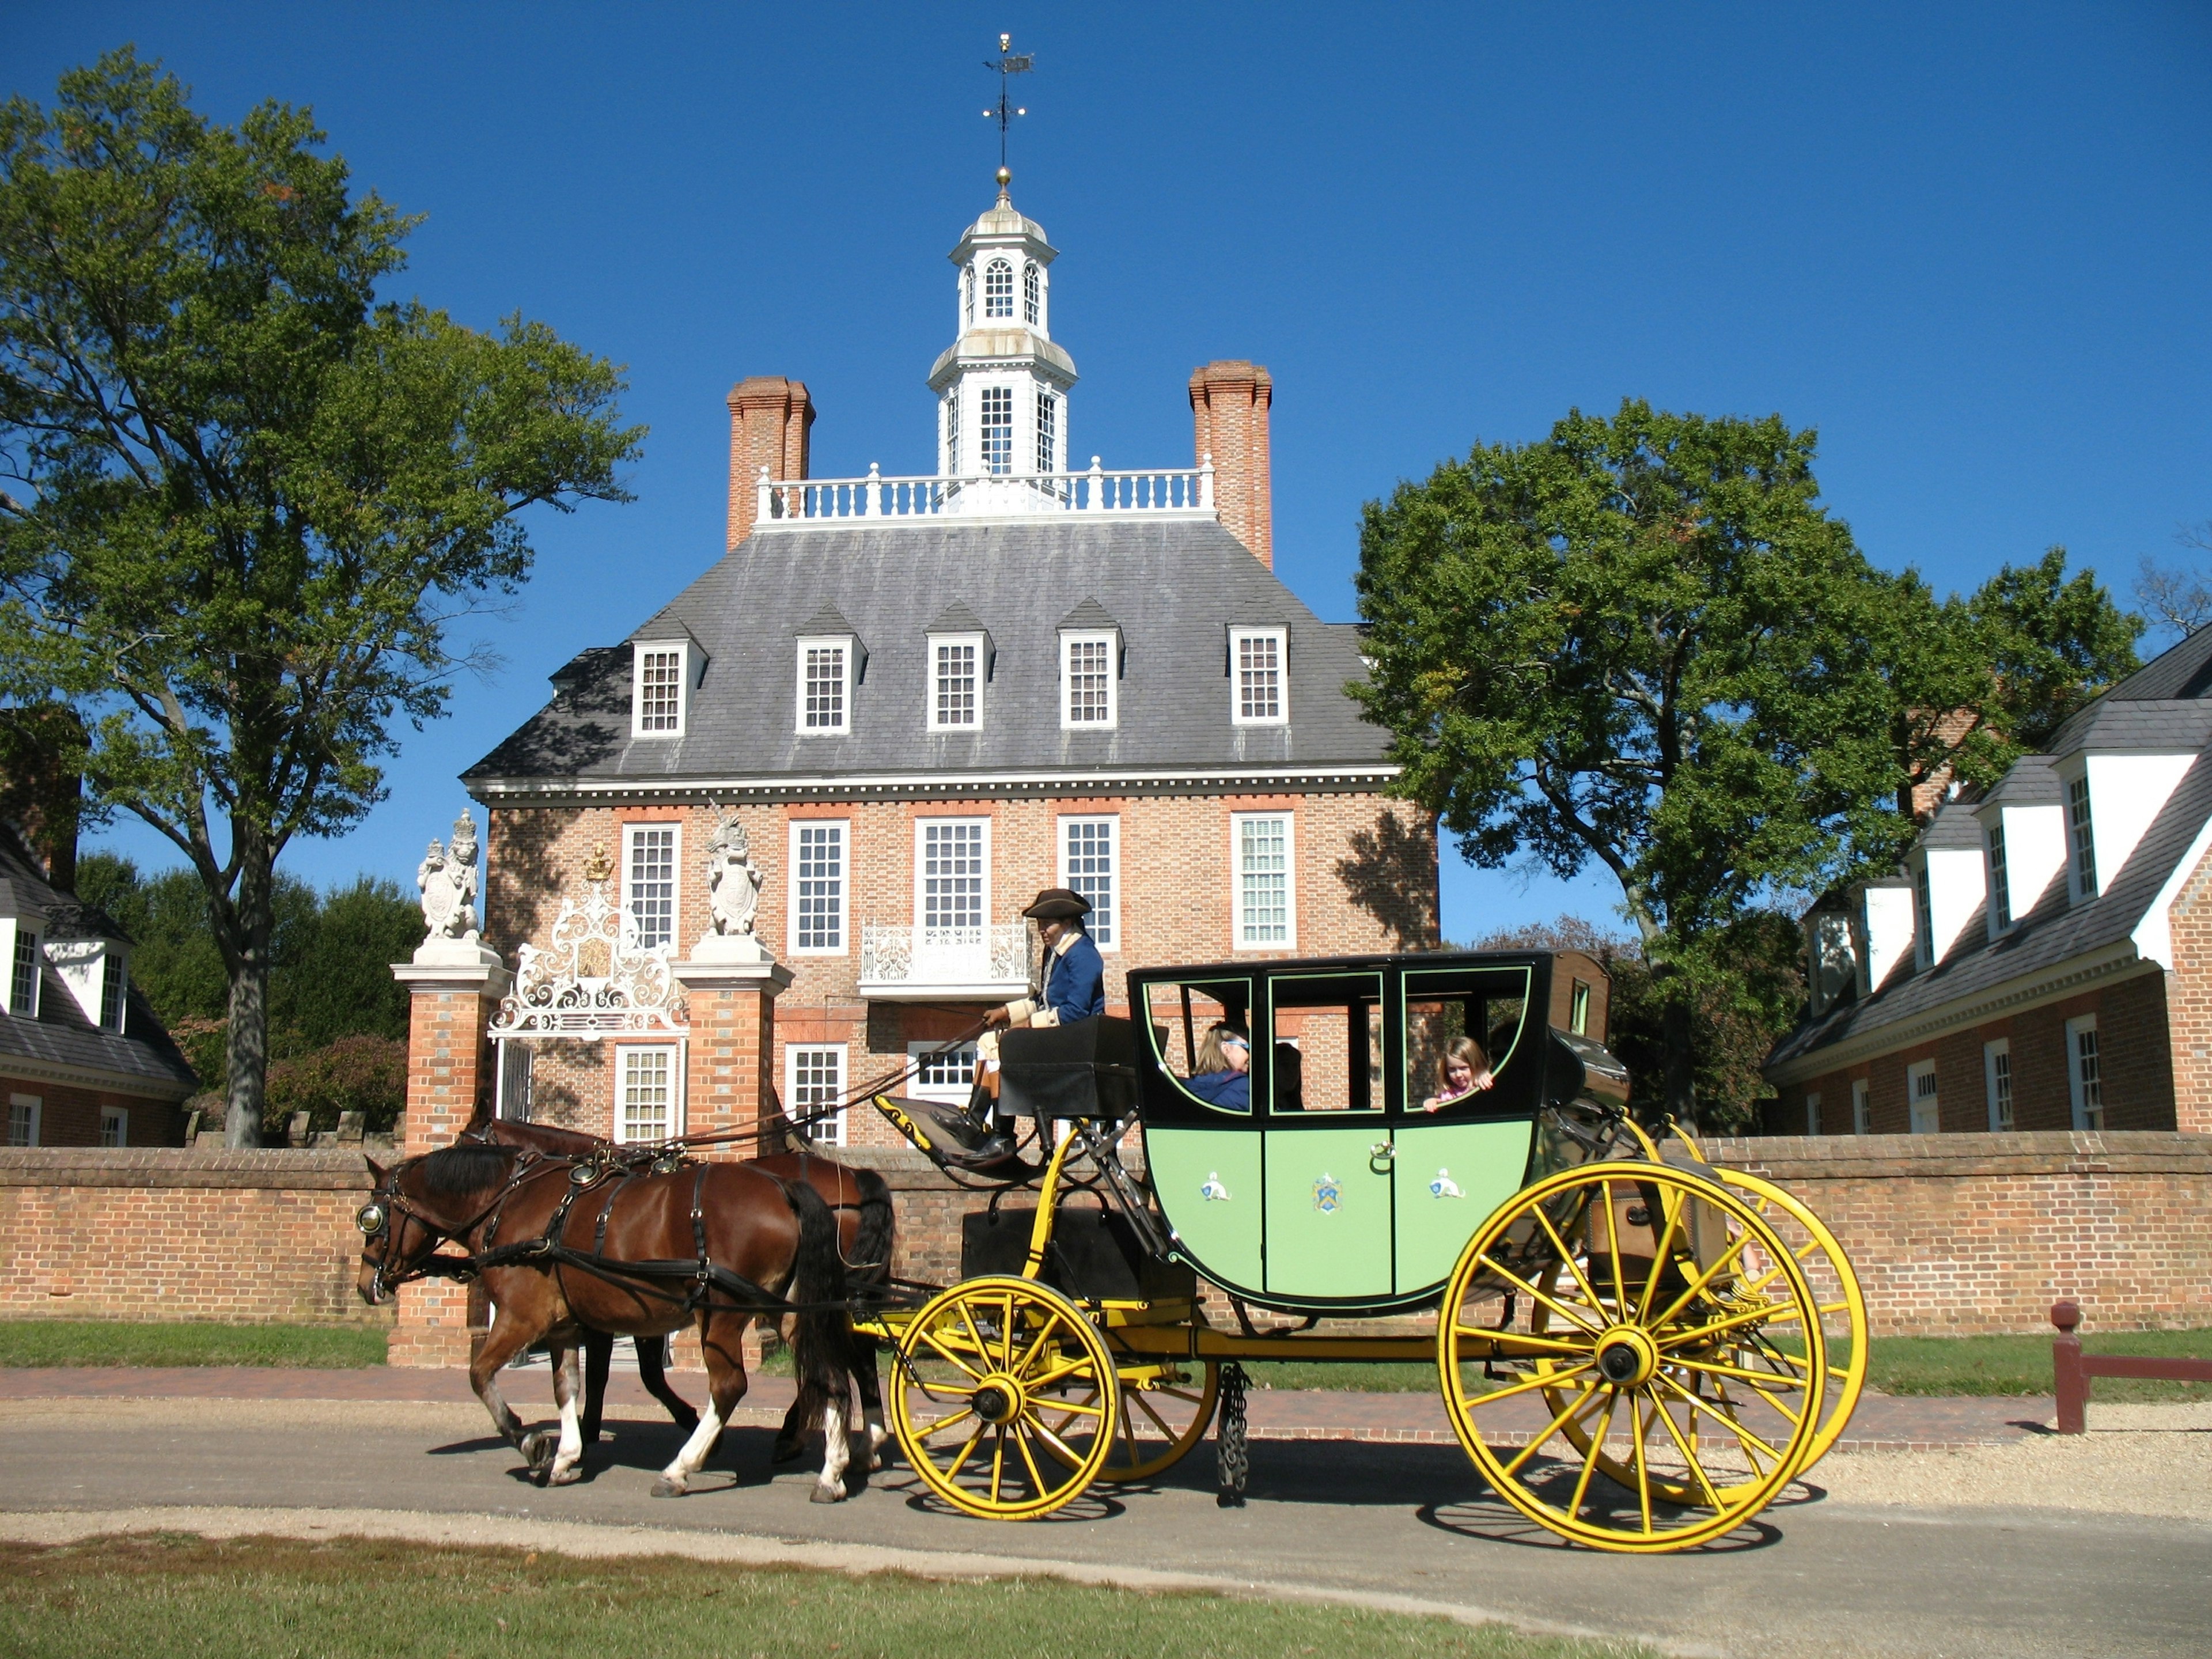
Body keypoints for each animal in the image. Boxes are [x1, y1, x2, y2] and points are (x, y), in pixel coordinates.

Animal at [358, 1141, 858, 1504]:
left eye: (372, 1219)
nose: (367, 1285)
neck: (513, 1200)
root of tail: (784, 1190)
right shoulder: (562, 1327)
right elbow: (567, 1387)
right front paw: (566, 1455)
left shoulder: (522, 1318)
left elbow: (480, 1376)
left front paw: (531, 1442)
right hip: (788, 1312)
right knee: (829, 1375)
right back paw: (830, 1474)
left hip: (721, 1316)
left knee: (730, 1387)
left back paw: (679, 1469)